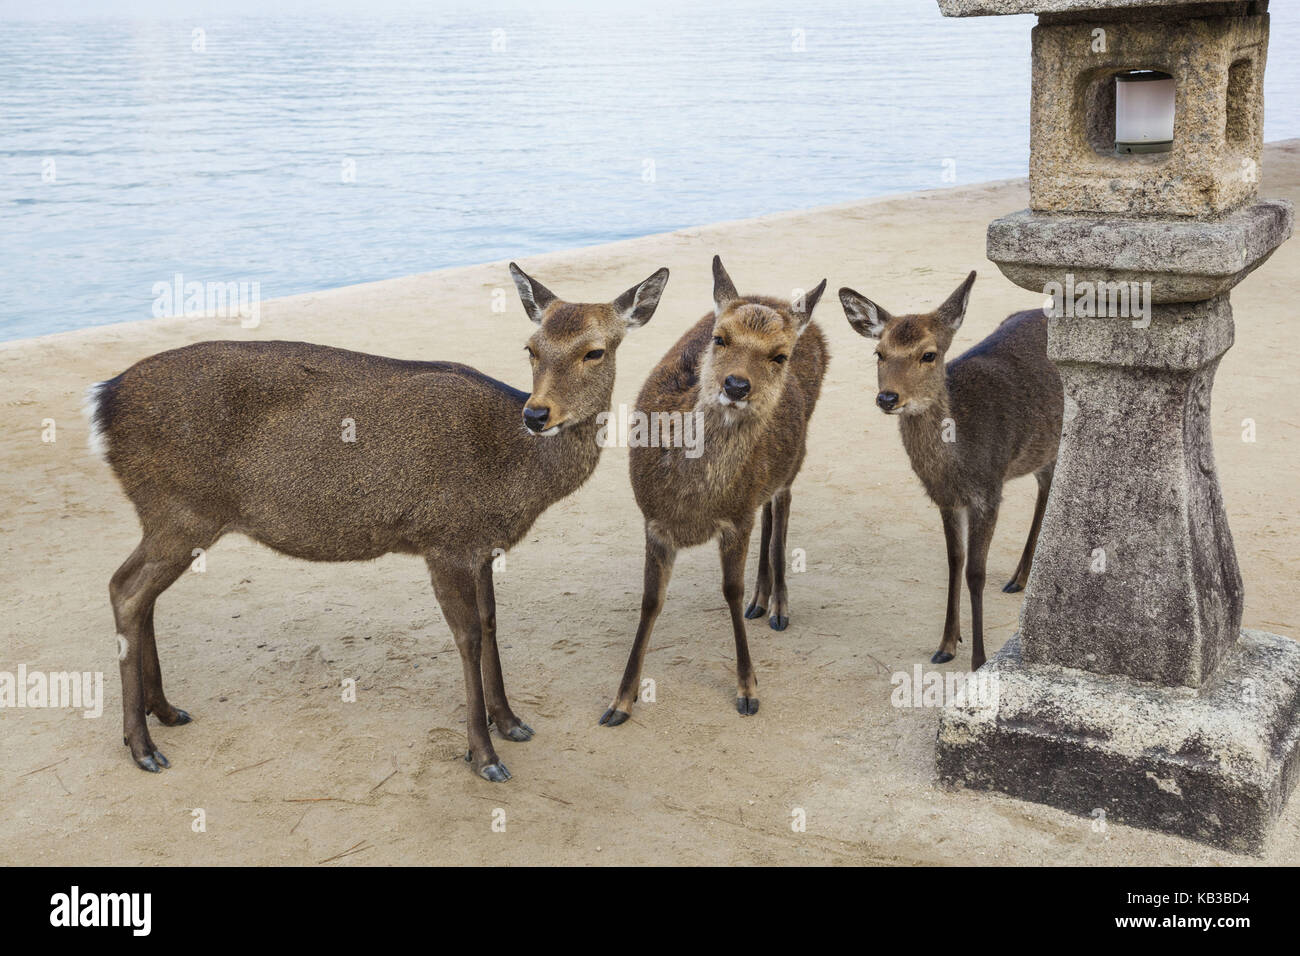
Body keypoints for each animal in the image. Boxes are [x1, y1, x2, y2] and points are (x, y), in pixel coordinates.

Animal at [86, 260, 670, 780]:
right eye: (531, 348)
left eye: (595, 350)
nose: (537, 414)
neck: (516, 479)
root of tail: (102, 401)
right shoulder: (444, 539)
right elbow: (467, 637)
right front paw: (484, 755)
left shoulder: (480, 546)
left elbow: (490, 624)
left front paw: (510, 721)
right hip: (180, 510)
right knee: (125, 589)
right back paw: (142, 745)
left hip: (168, 516)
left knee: (140, 593)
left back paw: (164, 711)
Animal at [595, 254, 821, 723]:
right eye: (720, 338)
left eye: (780, 355)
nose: (736, 385)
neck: (693, 503)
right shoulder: (654, 522)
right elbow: (650, 601)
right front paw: (621, 701)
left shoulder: (735, 519)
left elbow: (729, 592)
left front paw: (748, 690)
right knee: (769, 510)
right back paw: (761, 600)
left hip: (796, 458)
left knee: (782, 507)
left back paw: (778, 606)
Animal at [837, 273, 1060, 671]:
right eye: (879, 353)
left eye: (929, 354)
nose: (887, 398)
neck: (956, 464)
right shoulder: (946, 499)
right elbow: (955, 562)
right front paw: (945, 644)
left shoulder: (988, 491)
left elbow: (975, 572)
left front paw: (978, 659)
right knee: (1045, 480)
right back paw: (1020, 577)